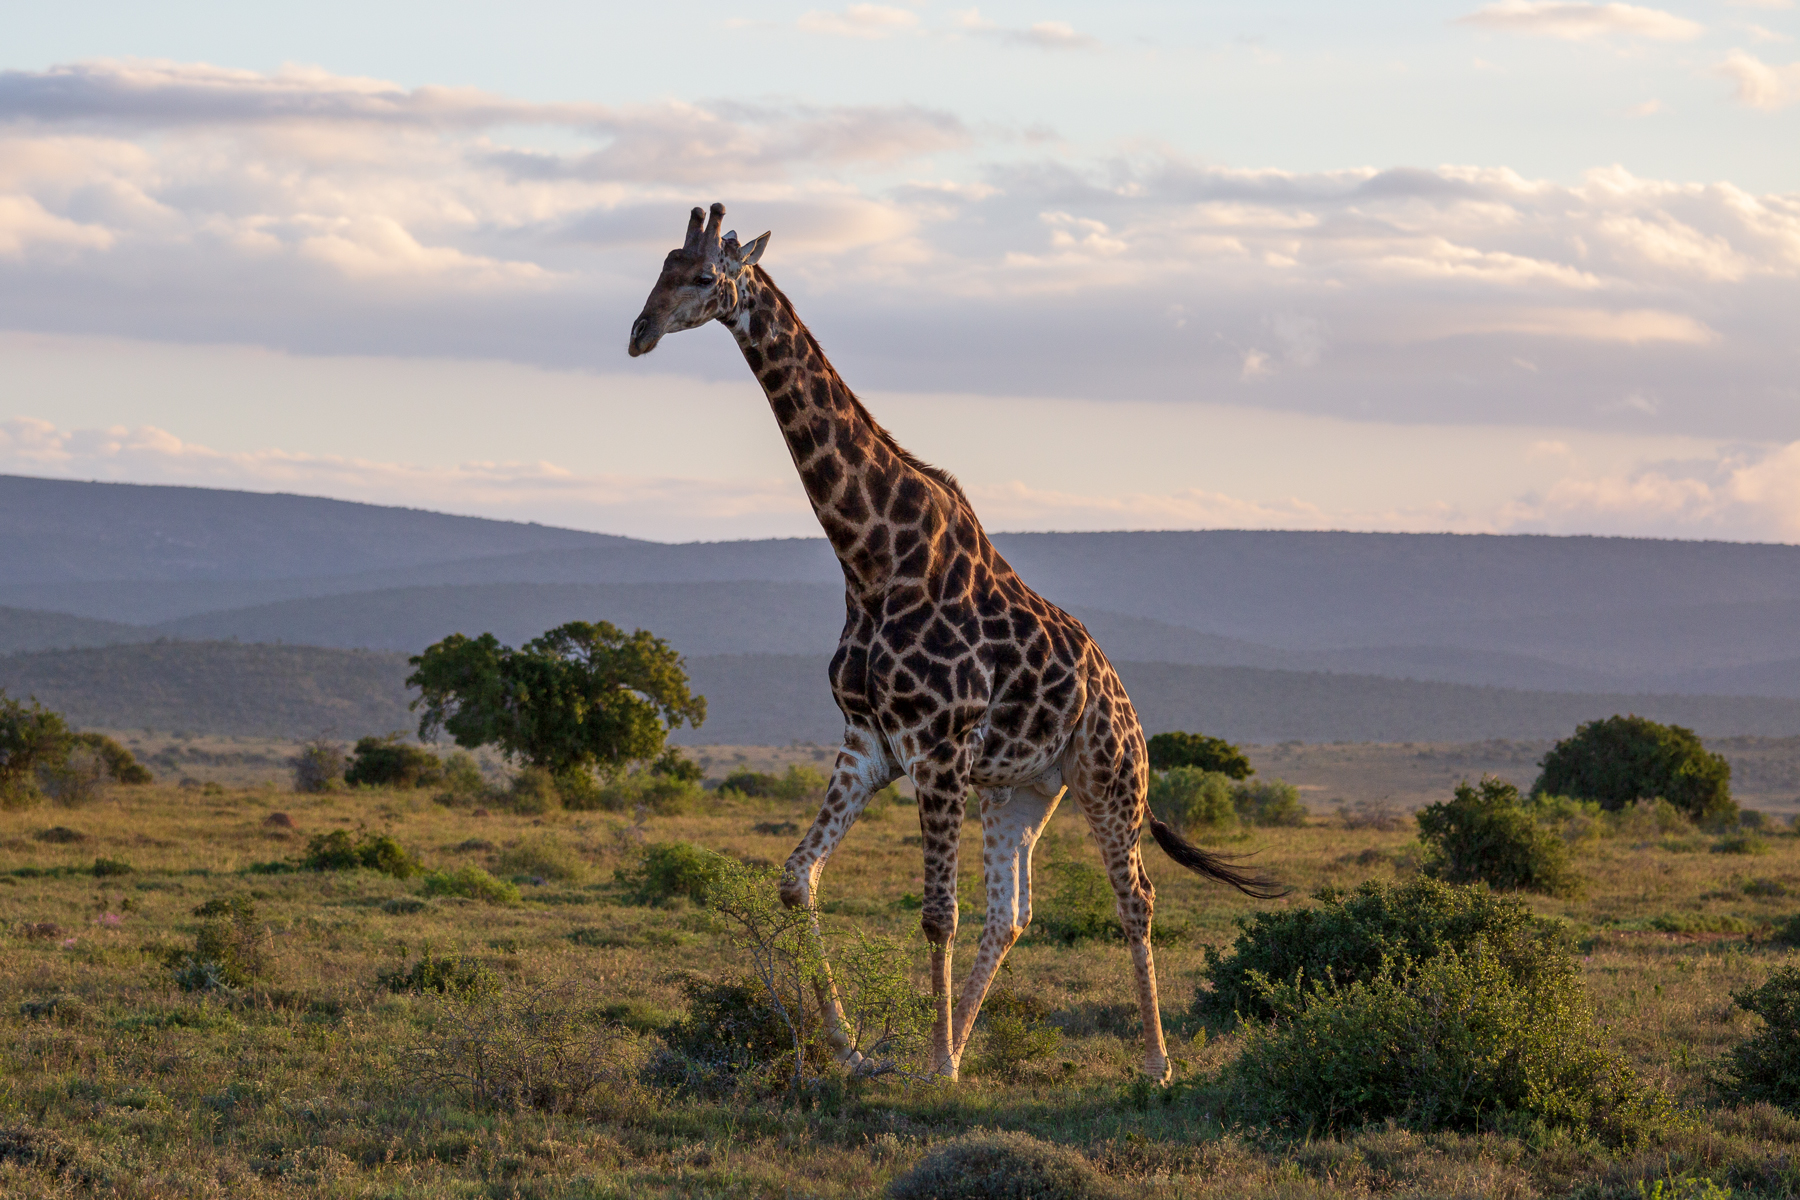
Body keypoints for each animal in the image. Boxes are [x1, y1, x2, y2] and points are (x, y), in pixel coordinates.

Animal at [628, 203, 1283, 1081]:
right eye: (660, 267)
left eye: (704, 276)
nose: (639, 333)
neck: (871, 558)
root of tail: (1121, 696)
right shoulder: (870, 742)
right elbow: (798, 880)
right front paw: (857, 1052)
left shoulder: (936, 748)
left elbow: (937, 911)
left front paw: (929, 1066)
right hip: (1023, 789)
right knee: (1013, 913)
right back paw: (966, 1046)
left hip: (1109, 777)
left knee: (1134, 898)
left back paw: (1151, 1063)